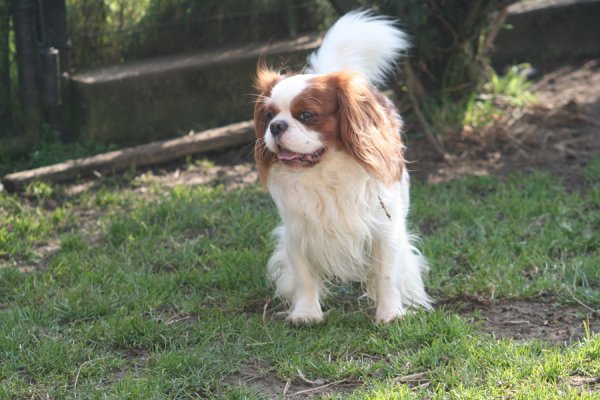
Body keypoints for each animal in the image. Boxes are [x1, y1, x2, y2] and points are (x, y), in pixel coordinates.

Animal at [253, 10, 432, 324]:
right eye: (269, 115)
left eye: (306, 115)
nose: (276, 127)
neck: (326, 171)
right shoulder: (298, 230)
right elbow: (304, 274)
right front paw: (306, 313)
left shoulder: (385, 226)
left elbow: (386, 273)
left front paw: (390, 313)